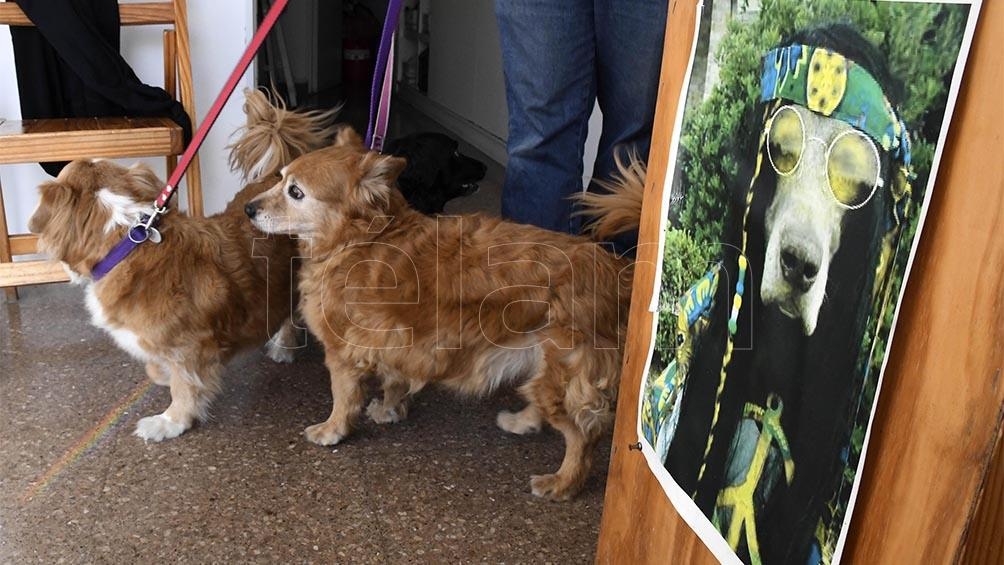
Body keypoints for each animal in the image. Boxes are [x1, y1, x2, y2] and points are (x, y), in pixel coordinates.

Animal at [28, 89, 337, 441]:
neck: (125, 241)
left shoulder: (192, 347)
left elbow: (185, 387)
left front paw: (170, 421)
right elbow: (157, 367)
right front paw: (161, 375)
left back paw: (283, 346)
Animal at [244, 130, 642, 501]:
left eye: (296, 192)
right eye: (279, 177)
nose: (248, 208)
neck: (361, 240)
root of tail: (617, 270)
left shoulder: (343, 354)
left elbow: (342, 398)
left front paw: (332, 430)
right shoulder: (399, 344)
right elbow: (394, 381)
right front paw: (389, 410)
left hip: (567, 371)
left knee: (583, 436)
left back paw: (562, 482)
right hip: (544, 363)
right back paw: (521, 421)